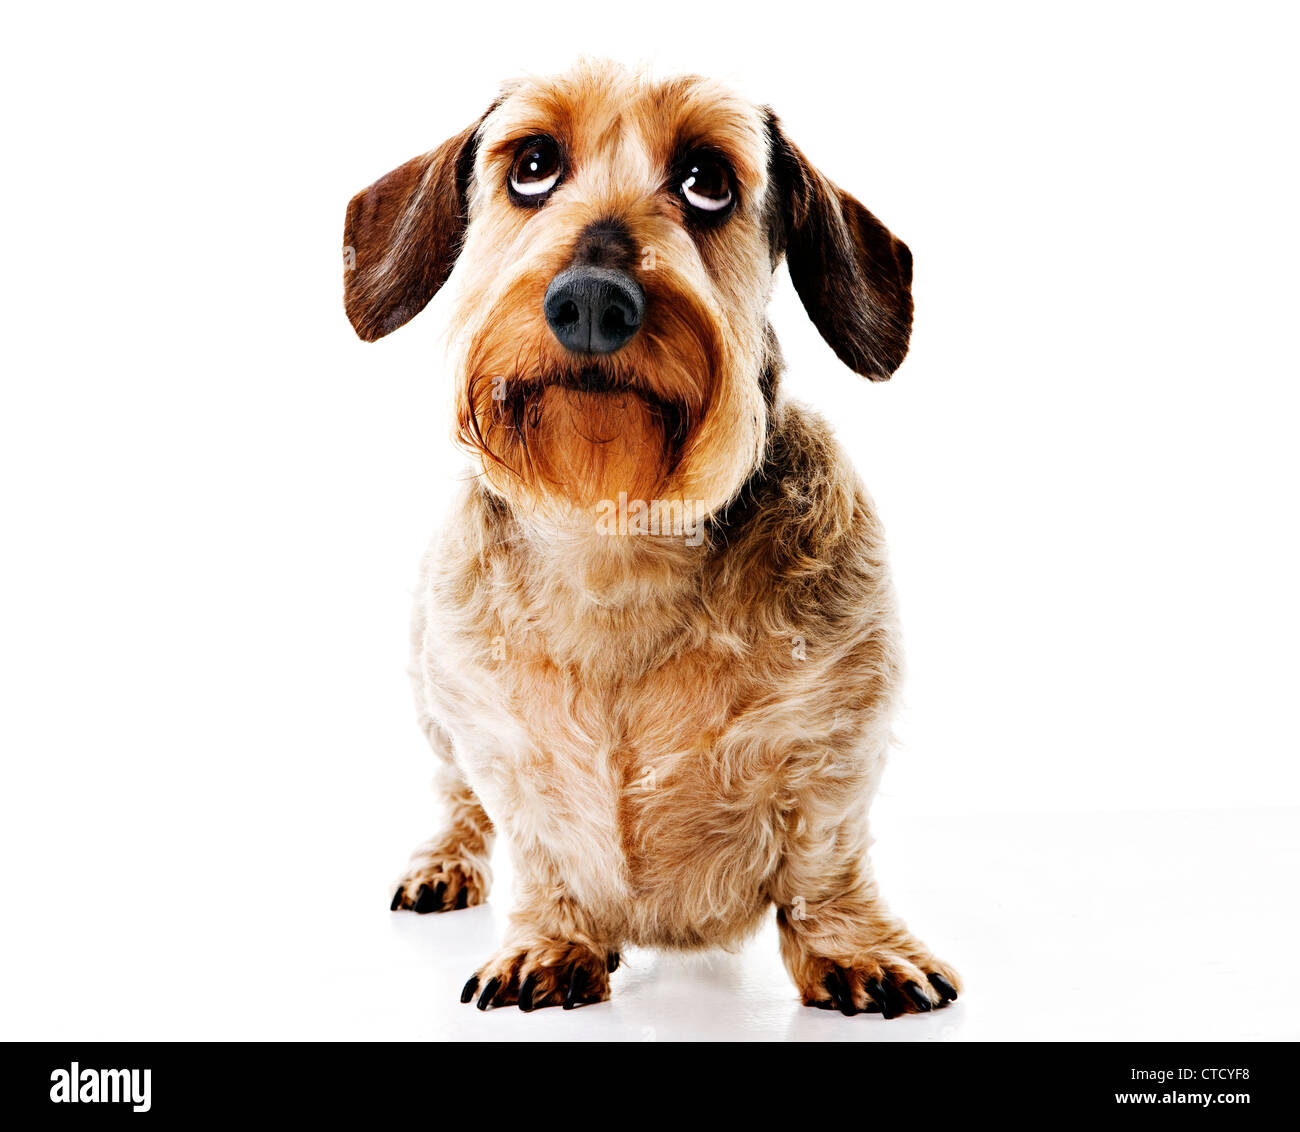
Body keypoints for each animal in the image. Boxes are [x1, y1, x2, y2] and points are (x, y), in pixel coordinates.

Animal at [340, 62, 961, 1018]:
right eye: (532, 165)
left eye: (708, 181)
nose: (593, 301)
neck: (618, 533)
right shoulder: (494, 738)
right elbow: (535, 839)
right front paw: (551, 938)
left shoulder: (840, 734)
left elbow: (826, 854)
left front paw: (857, 948)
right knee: (455, 800)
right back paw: (441, 864)